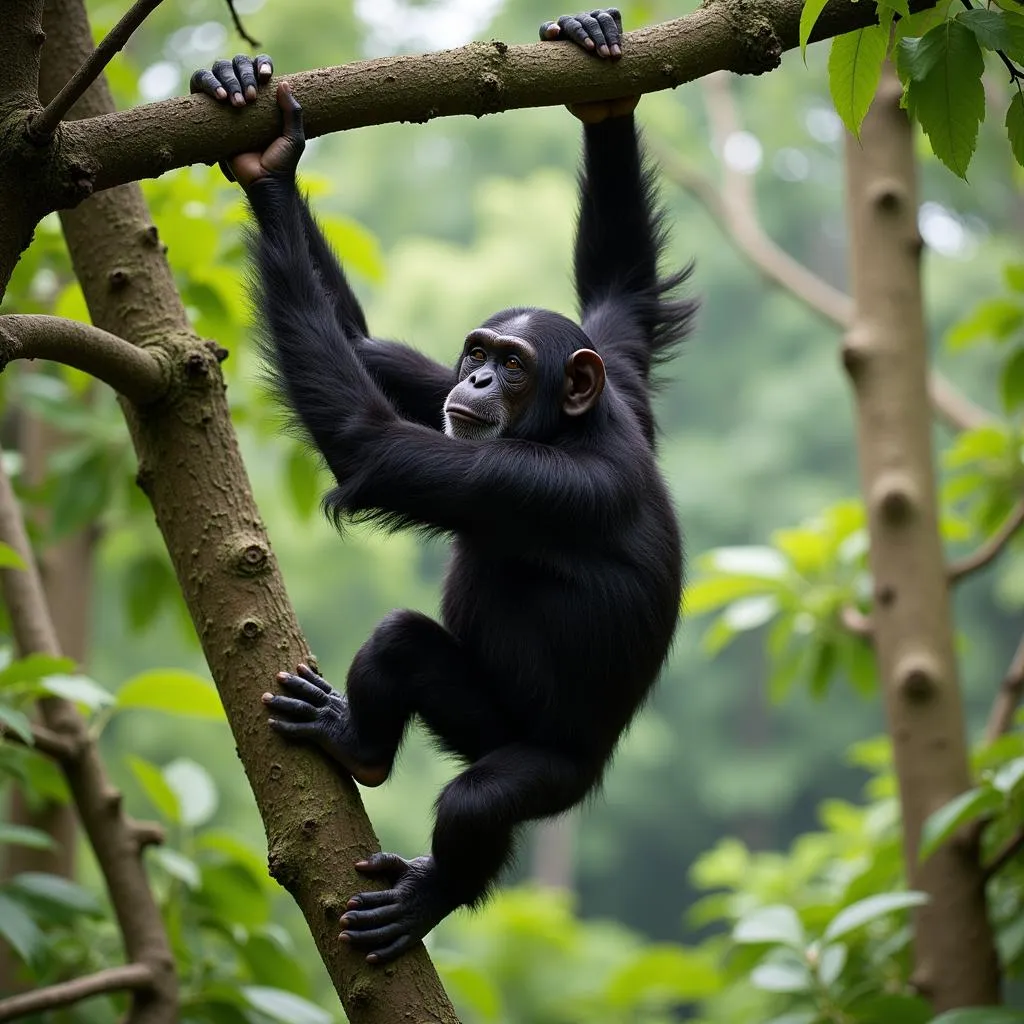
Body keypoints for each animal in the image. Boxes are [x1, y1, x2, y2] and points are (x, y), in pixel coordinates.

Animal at [192, 8, 696, 962]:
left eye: (515, 364)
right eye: (474, 354)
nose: (479, 382)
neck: (569, 424)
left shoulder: (541, 483)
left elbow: (371, 442)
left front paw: (271, 170)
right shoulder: (623, 370)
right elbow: (619, 293)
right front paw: (601, 79)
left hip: (552, 773)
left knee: (477, 800)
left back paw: (429, 891)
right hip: (479, 718)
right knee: (402, 645)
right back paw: (358, 743)